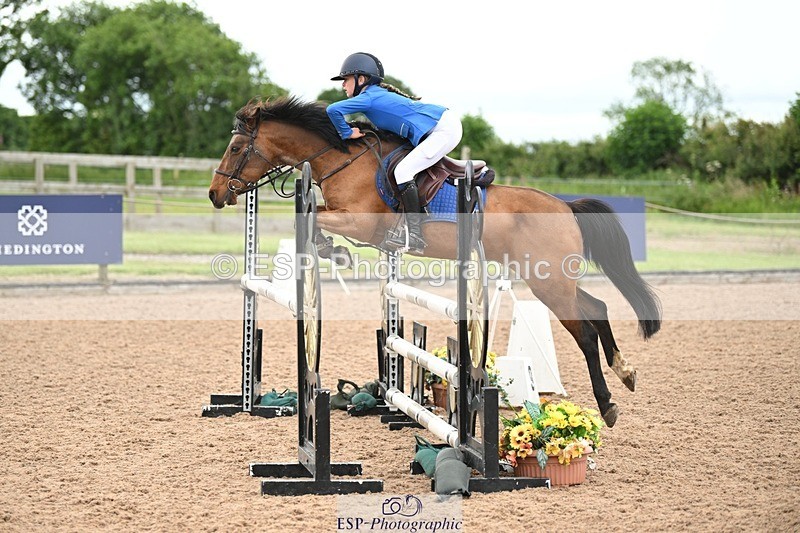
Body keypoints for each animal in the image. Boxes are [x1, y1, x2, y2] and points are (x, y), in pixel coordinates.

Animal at [208, 96, 662, 428]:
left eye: (235, 147)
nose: (215, 193)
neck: (341, 159)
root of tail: (566, 207)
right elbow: (313, 215)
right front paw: (333, 250)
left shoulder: (362, 221)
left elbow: (313, 216)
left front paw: (332, 250)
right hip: (550, 278)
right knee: (597, 307)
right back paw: (625, 372)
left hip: (548, 282)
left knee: (584, 331)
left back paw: (607, 405)